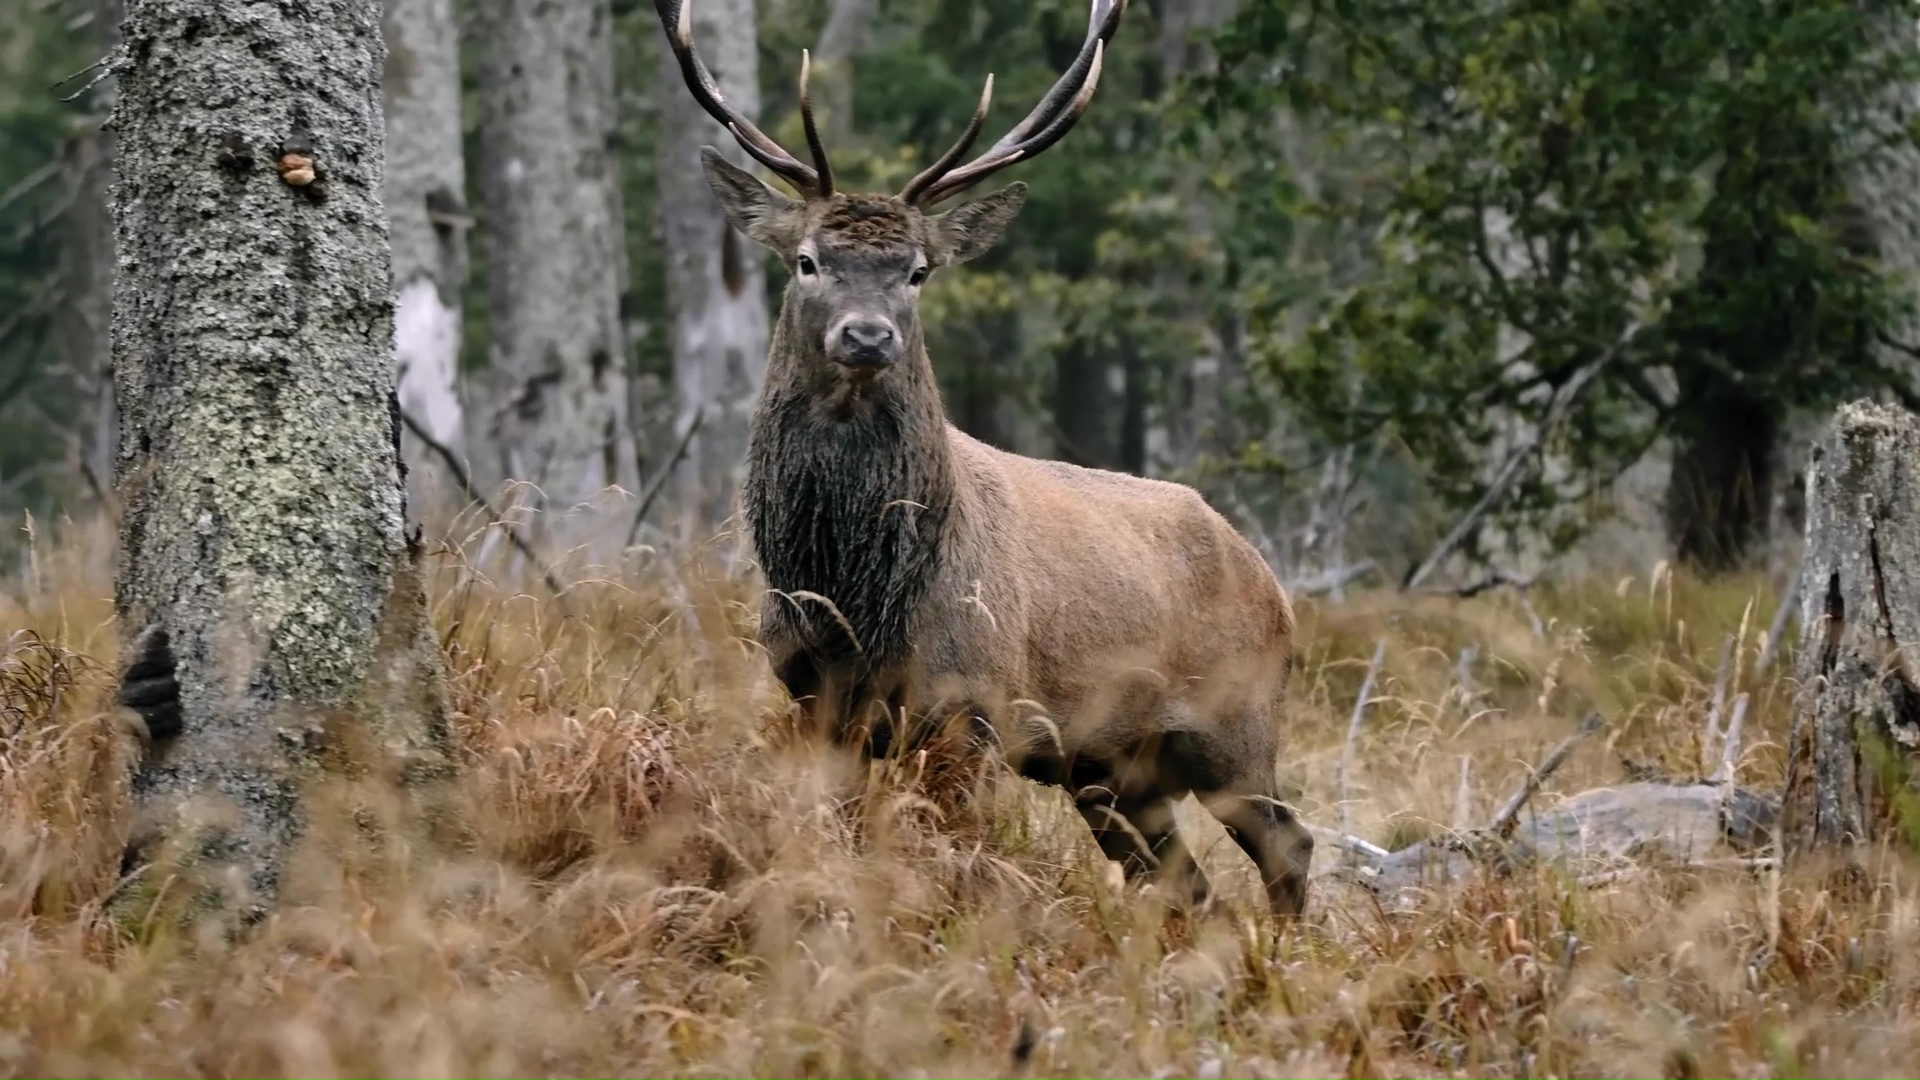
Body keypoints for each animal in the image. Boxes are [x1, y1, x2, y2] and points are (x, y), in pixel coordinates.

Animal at [654, 0, 1315, 918]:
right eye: (807, 260)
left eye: (917, 271)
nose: (868, 335)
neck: (855, 593)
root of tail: (1274, 583)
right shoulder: (810, 699)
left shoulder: (970, 707)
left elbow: (953, 866)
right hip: (1114, 769)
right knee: (1189, 888)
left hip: (1237, 724)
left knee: (1290, 843)